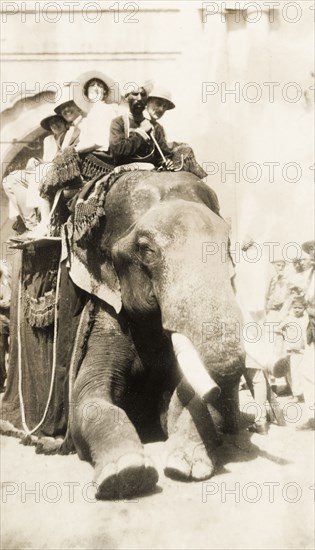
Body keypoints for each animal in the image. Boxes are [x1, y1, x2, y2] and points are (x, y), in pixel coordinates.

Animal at [61, 170, 246, 502]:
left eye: (227, 243)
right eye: (146, 249)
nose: (211, 389)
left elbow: (213, 406)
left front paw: (186, 466)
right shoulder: (106, 311)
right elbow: (88, 399)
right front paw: (126, 474)